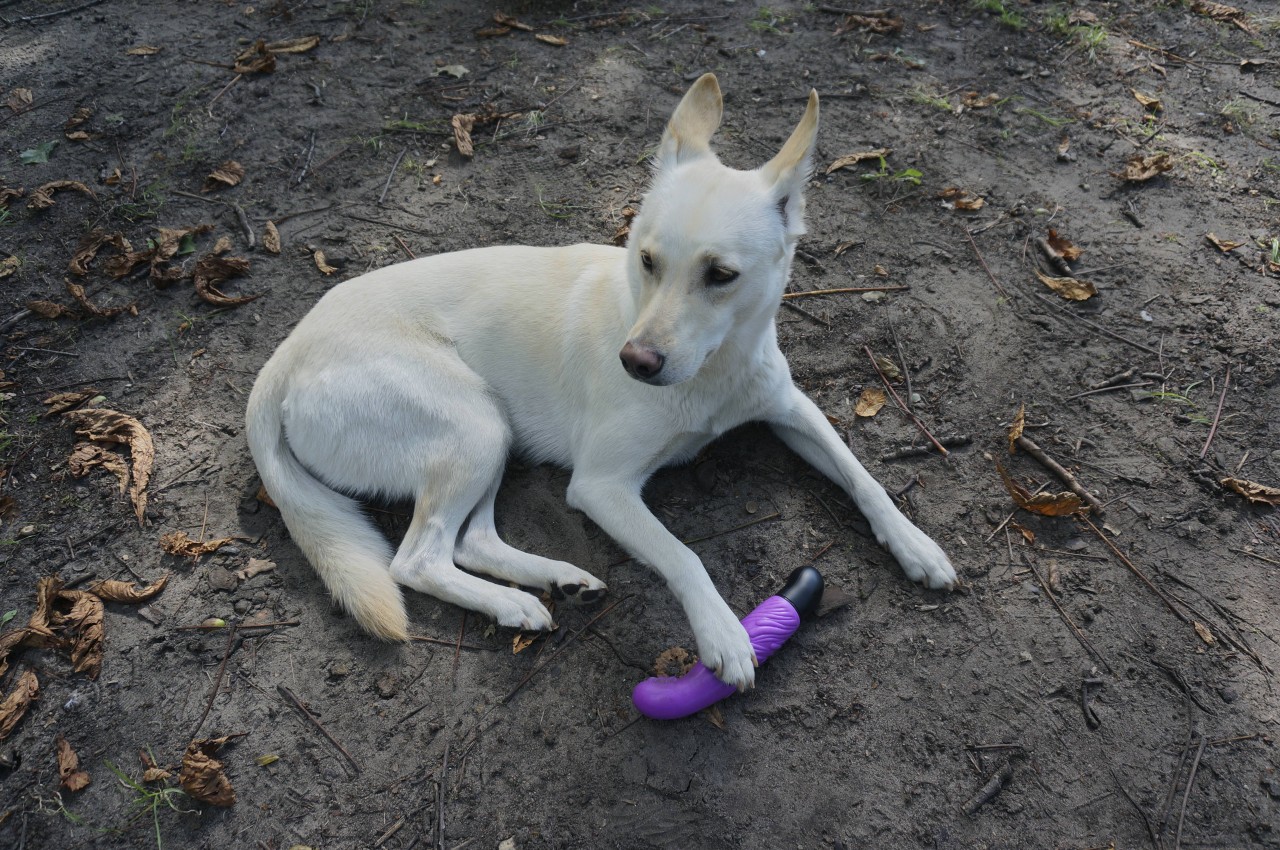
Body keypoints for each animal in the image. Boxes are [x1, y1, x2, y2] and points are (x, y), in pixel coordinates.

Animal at [244, 74, 957, 691]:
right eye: (646, 259)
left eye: (721, 275)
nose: (634, 363)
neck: (712, 369)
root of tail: (282, 359)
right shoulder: (602, 486)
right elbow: (681, 553)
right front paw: (724, 633)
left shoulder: (792, 408)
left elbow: (863, 476)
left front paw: (918, 546)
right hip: (473, 423)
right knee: (417, 559)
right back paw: (512, 604)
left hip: (492, 435)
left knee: (470, 541)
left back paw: (555, 580)